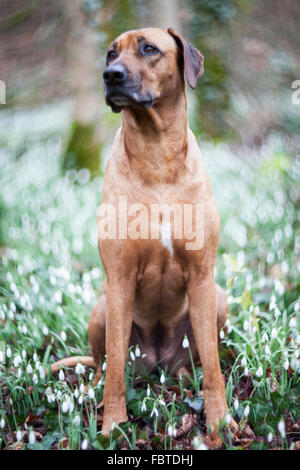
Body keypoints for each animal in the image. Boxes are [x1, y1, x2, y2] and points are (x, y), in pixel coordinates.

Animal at [52, 27, 234, 446]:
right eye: (110, 54)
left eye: (149, 48)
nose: (111, 75)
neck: (157, 155)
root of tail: (158, 363)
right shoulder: (118, 280)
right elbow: (116, 369)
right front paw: (113, 426)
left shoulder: (202, 275)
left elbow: (214, 367)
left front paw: (219, 422)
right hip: (101, 308)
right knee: (104, 365)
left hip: (216, 301)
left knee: (198, 357)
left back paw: (185, 376)